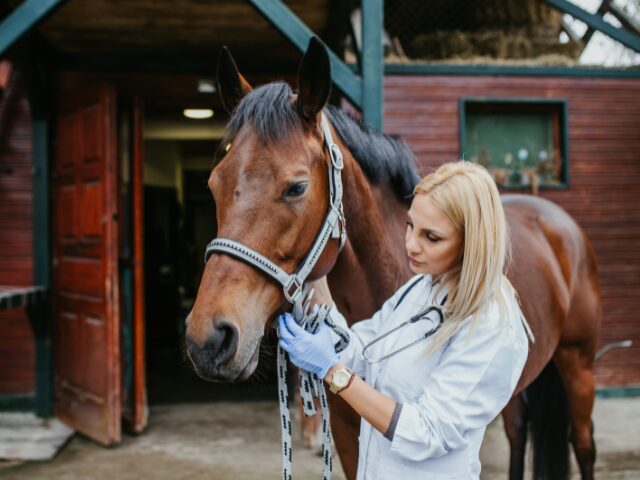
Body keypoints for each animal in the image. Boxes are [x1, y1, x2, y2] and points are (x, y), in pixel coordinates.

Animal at [184, 38, 600, 480]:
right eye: (214, 184)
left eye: (296, 187)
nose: (207, 339)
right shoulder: (346, 429)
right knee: (519, 431)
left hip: (578, 364)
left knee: (583, 443)